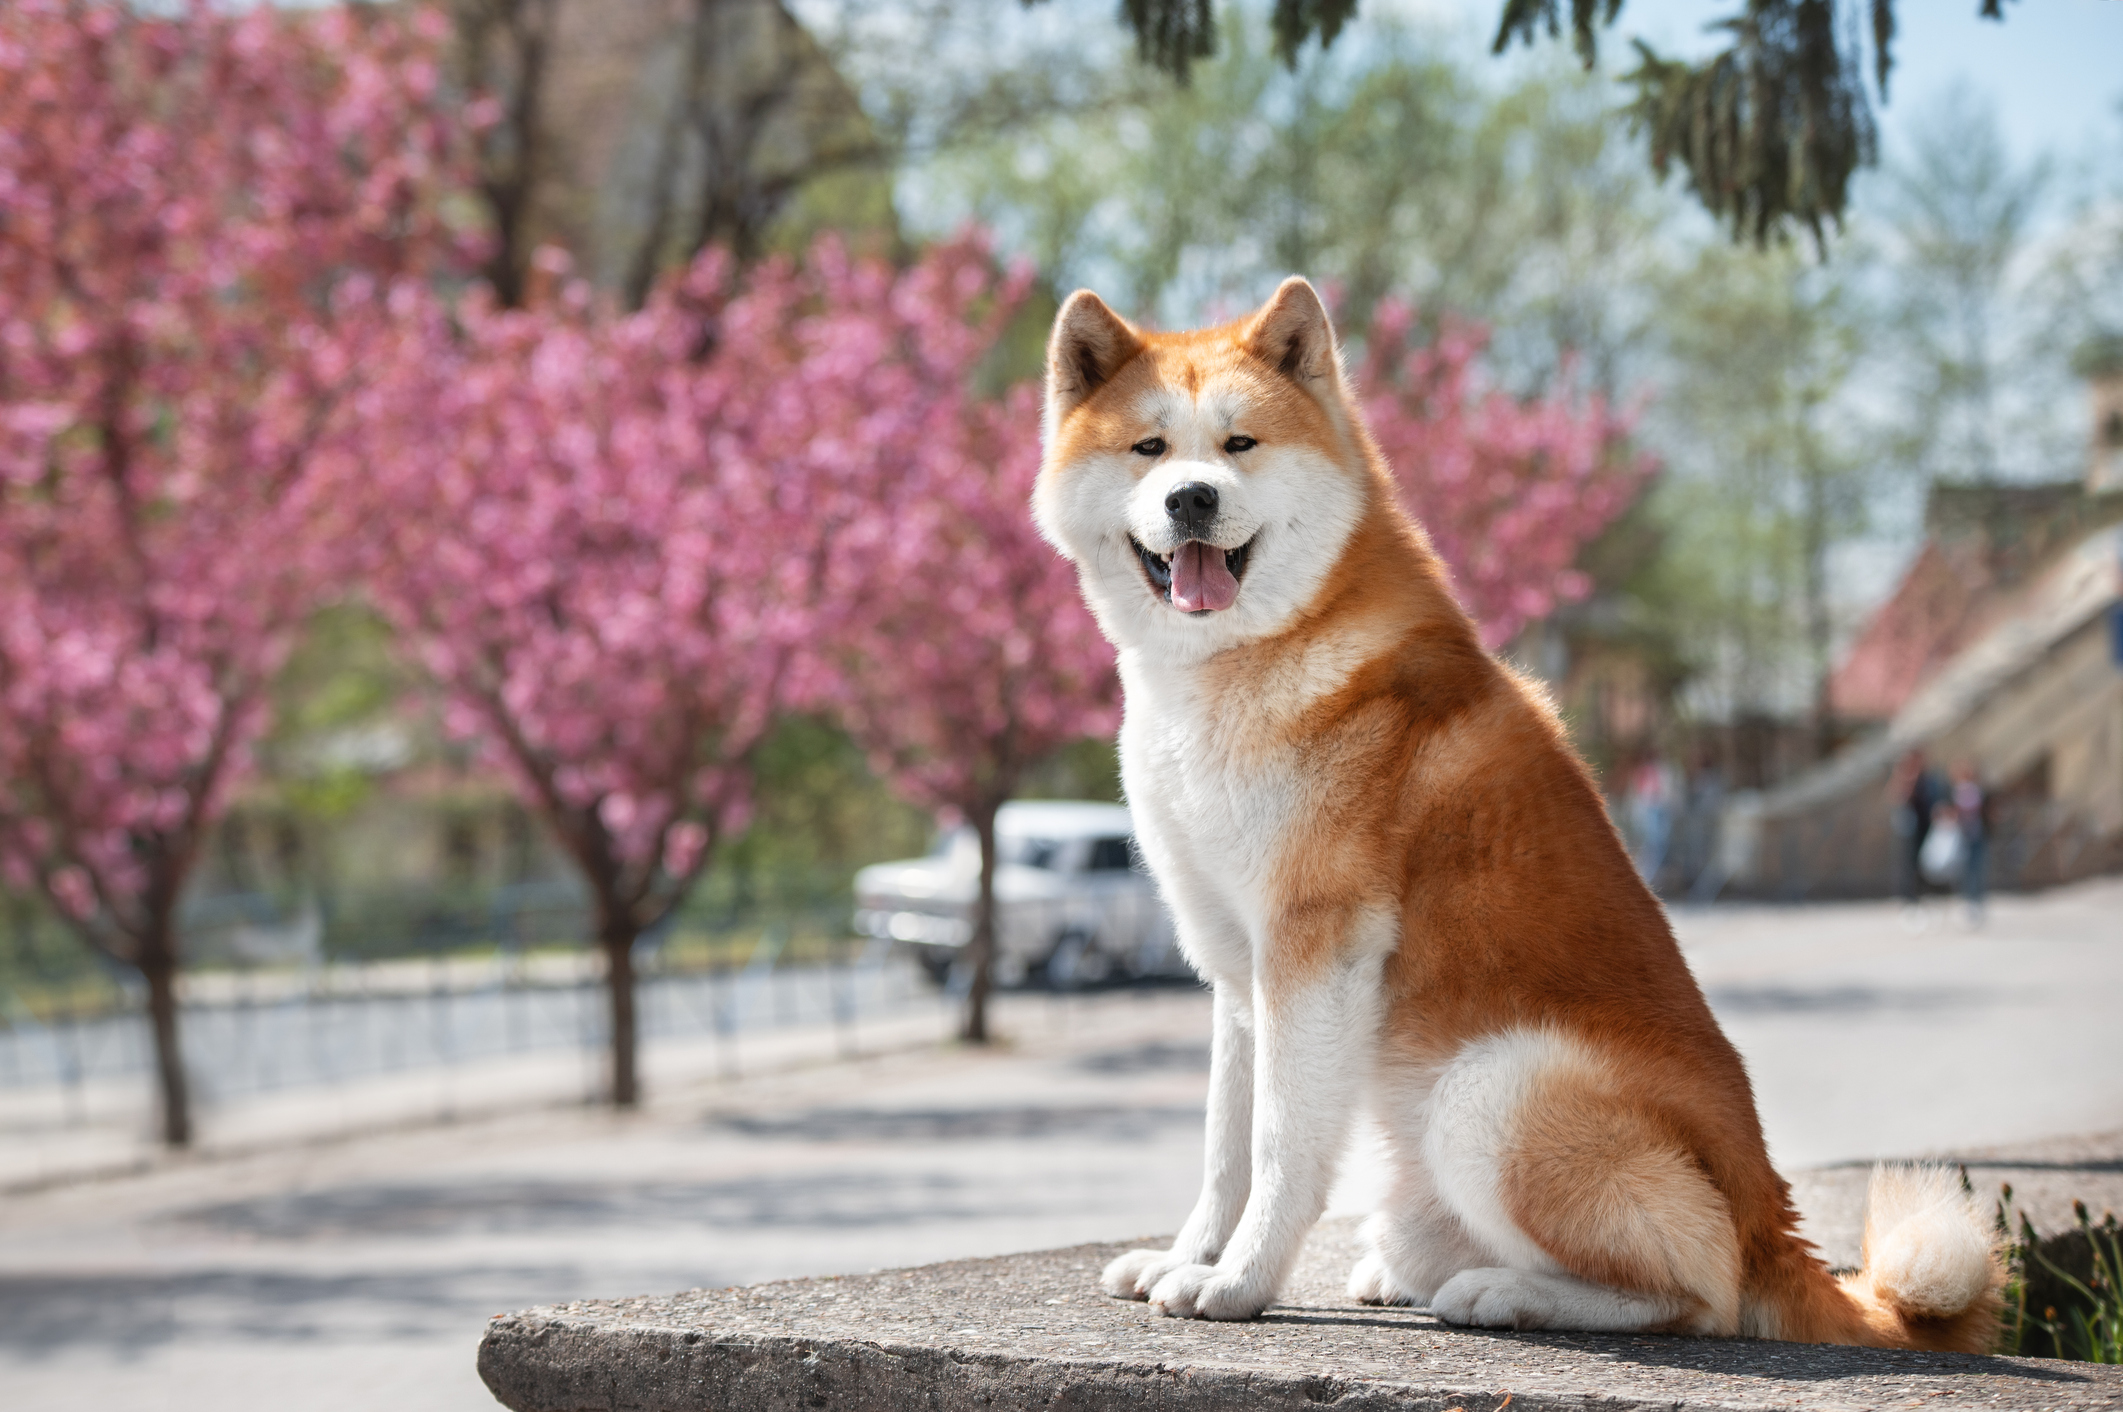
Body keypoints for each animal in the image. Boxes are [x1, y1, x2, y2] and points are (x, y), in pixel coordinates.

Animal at [1027, 280, 2004, 1350]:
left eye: (1239, 445)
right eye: (1148, 449)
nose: (1192, 499)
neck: (1249, 659)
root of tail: (1771, 1226)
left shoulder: (1312, 947)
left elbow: (1281, 1145)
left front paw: (1238, 1281)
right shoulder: (1238, 969)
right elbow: (1224, 1147)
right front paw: (1189, 1254)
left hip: (1490, 1087)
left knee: (1695, 1293)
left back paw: (1502, 1295)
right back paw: (1416, 1275)